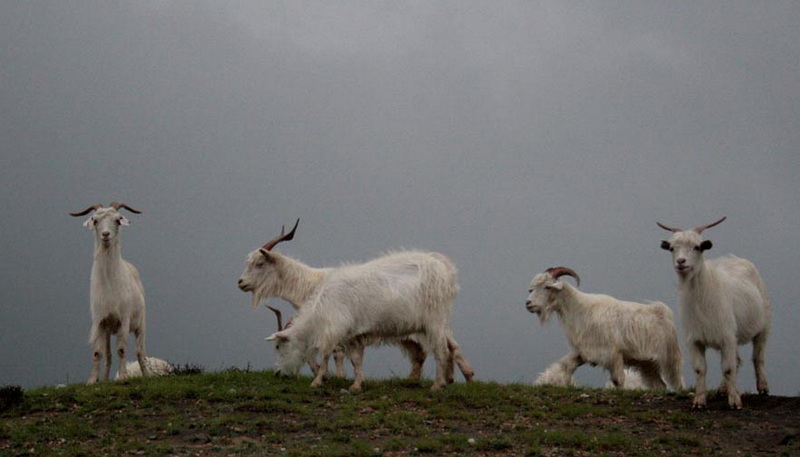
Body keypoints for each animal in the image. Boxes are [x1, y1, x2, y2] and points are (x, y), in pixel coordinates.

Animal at [70, 201, 150, 382]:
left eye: (118, 219)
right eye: (95, 220)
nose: (105, 235)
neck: (110, 284)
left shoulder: (124, 320)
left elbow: (122, 349)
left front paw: (123, 377)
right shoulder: (100, 321)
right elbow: (98, 353)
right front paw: (92, 380)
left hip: (140, 325)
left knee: (140, 352)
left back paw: (147, 375)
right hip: (108, 331)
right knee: (108, 355)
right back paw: (105, 379)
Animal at [238, 219, 472, 390]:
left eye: (259, 263)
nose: (240, 282)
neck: (312, 284)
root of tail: (444, 267)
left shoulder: (334, 328)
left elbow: (327, 353)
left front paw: (323, 378)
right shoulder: (352, 333)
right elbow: (352, 358)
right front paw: (352, 383)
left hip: (433, 321)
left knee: (441, 349)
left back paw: (440, 383)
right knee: (441, 349)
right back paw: (446, 379)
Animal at [524, 268, 680, 392]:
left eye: (547, 287)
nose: (528, 303)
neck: (580, 309)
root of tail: (663, 312)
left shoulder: (614, 353)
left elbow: (618, 380)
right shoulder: (585, 351)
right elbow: (566, 366)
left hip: (669, 360)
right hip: (647, 363)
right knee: (659, 385)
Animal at [660, 216, 772, 408]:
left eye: (697, 247)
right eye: (672, 248)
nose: (681, 262)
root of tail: (736, 259)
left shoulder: (727, 336)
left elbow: (728, 368)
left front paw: (735, 402)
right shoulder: (695, 339)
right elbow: (700, 369)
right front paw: (699, 401)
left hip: (763, 327)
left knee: (757, 357)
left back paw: (763, 387)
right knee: (738, 360)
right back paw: (722, 389)